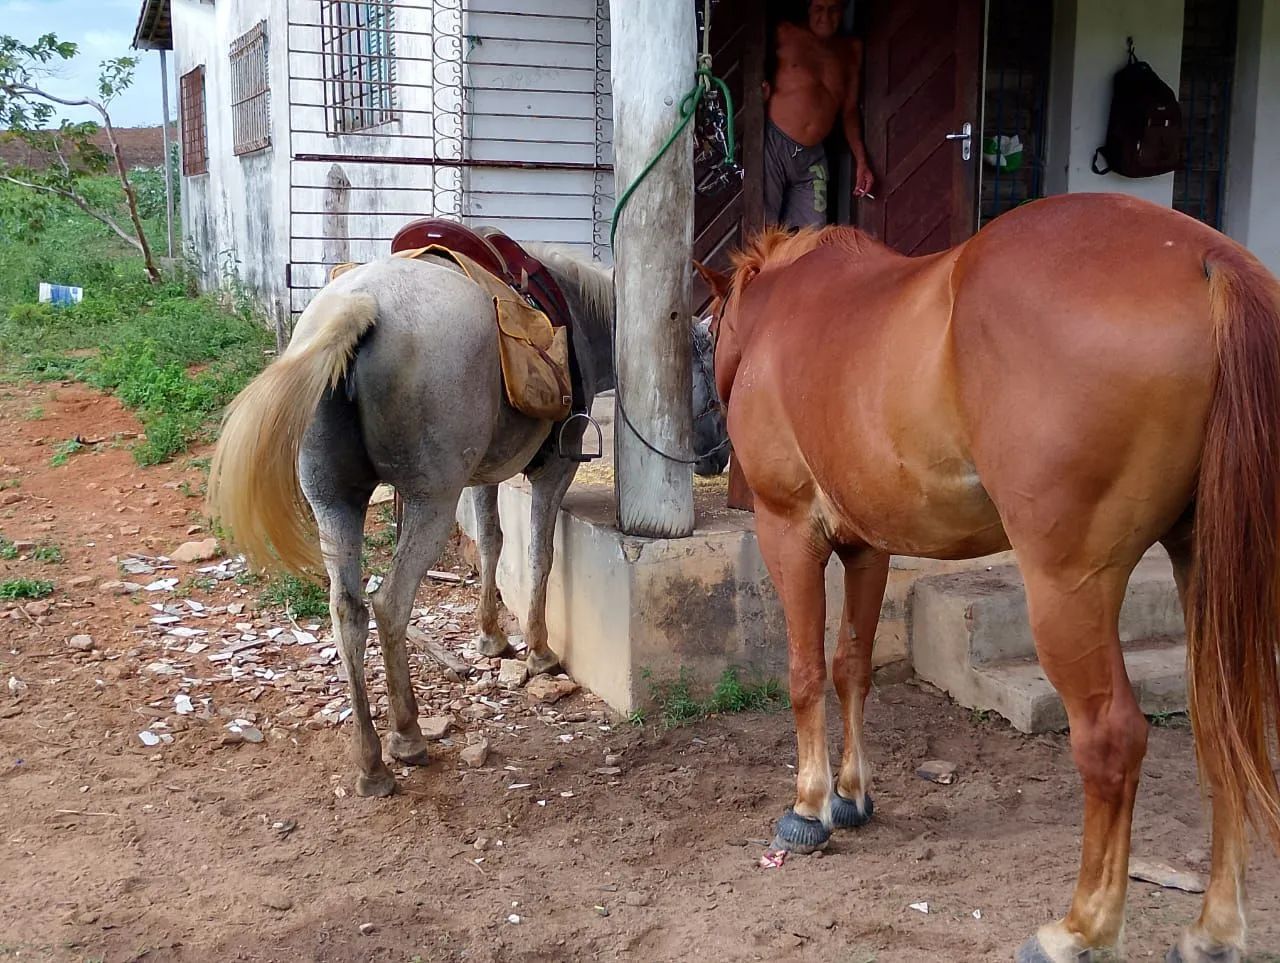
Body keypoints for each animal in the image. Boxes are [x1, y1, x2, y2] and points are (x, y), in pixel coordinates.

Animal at [207, 246, 727, 799]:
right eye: (711, 373)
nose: (720, 457)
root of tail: (360, 305)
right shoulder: (553, 471)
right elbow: (539, 555)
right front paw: (539, 652)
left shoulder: (483, 474)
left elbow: (493, 544)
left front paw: (490, 638)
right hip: (430, 502)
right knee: (389, 604)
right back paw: (407, 736)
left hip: (335, 504)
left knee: (348, 610)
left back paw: (371, 763)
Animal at [696, 192, 1280, 963]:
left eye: (705, 337)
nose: (703, 444)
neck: (784, 314)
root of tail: (1209, 259)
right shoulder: (868, 548)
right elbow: (852, 666)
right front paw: (852, 795)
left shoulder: (787, 531)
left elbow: (805, 673)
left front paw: (810, 807)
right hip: (1205, 564)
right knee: (1224, 723)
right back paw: (1214, 929)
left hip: (1068, 588)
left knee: (1112, 739)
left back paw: (1080, 928)